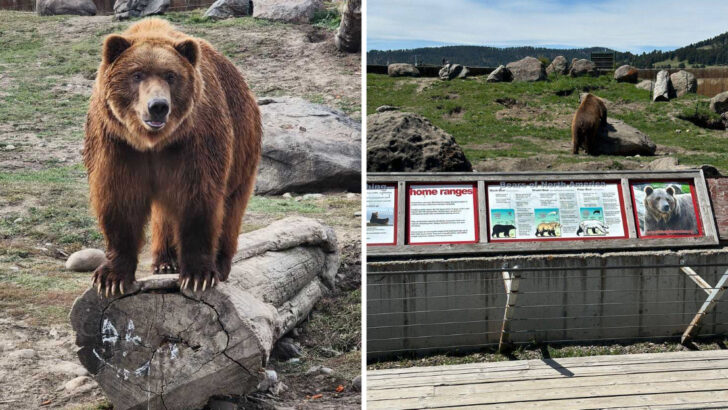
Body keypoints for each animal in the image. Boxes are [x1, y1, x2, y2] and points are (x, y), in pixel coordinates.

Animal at [84, 18, 262, 297]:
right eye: (137, 74)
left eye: (170, 75)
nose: (158, 106)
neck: (153, 142)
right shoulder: (116, 143)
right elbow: (119, 200)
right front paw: (110, 278)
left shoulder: (194, 142)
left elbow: (198, 199)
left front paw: (199, 275)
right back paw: (165, 262)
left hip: (243, 149)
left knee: (231, 208)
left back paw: (220, 263)